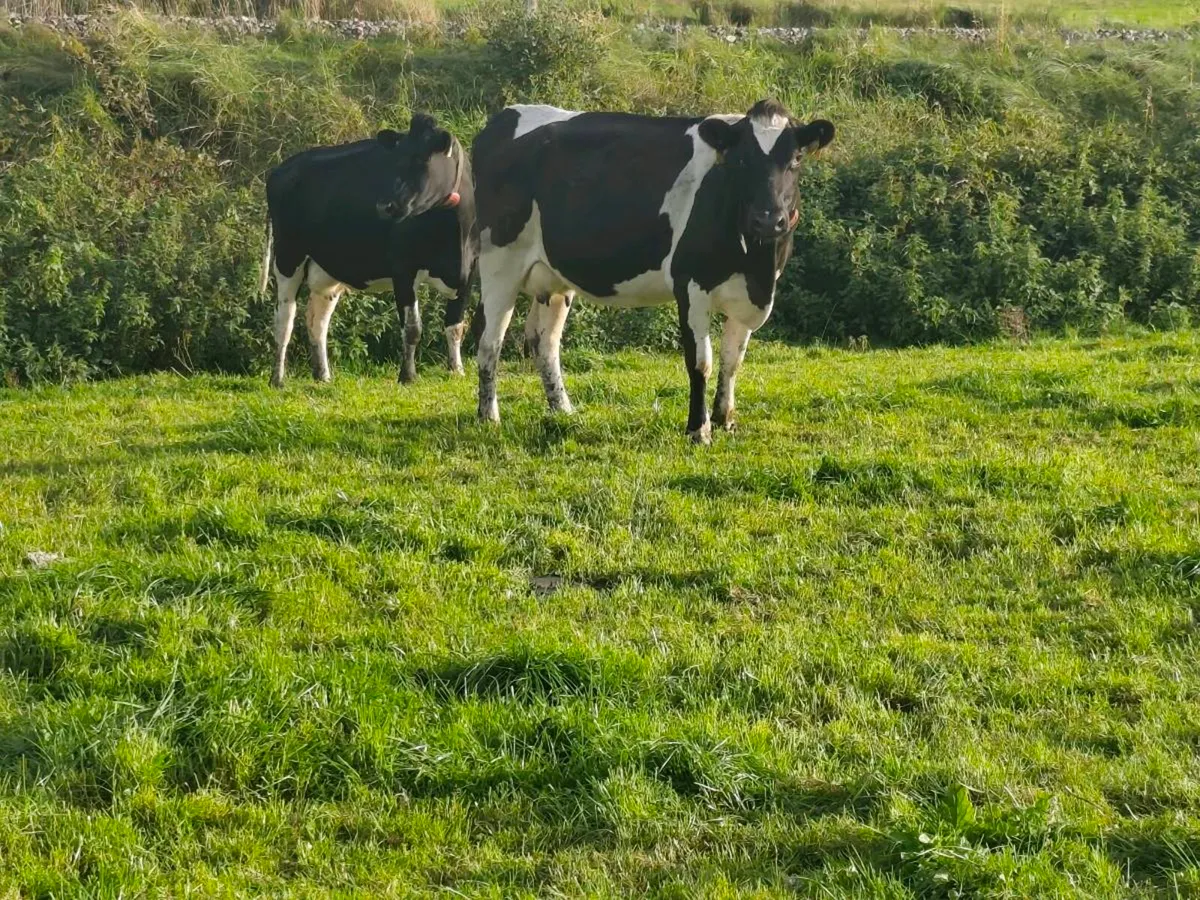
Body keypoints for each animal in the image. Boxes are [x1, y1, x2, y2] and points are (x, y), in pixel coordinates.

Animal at [260, 114, 477, 387]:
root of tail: (280, 169)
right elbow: (412, 329)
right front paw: (407, 376)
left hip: (326, 269)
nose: (385, 205)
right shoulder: (402, 270)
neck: (452, 233)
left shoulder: (469, 271)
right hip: (288, 256)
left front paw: (456, 370)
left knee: (317, 320)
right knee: (285, 318)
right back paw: (277, 379)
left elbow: (455, 325)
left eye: (421, 159)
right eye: (395, 159)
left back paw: (323, 375)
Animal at [470, 100, 834, 443]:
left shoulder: (749, 292)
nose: (768, 220)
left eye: (796, 159)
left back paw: (563, 410)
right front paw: (698, 430)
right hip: (500, 263)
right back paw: (489, 416)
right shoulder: (690, 285)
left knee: (544, 341)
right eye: (741, 160)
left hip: (553, 278)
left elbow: (733, 360)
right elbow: (701, 361)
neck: (757, 264)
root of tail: (502, 118)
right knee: (490, 340)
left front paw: (725, 420)